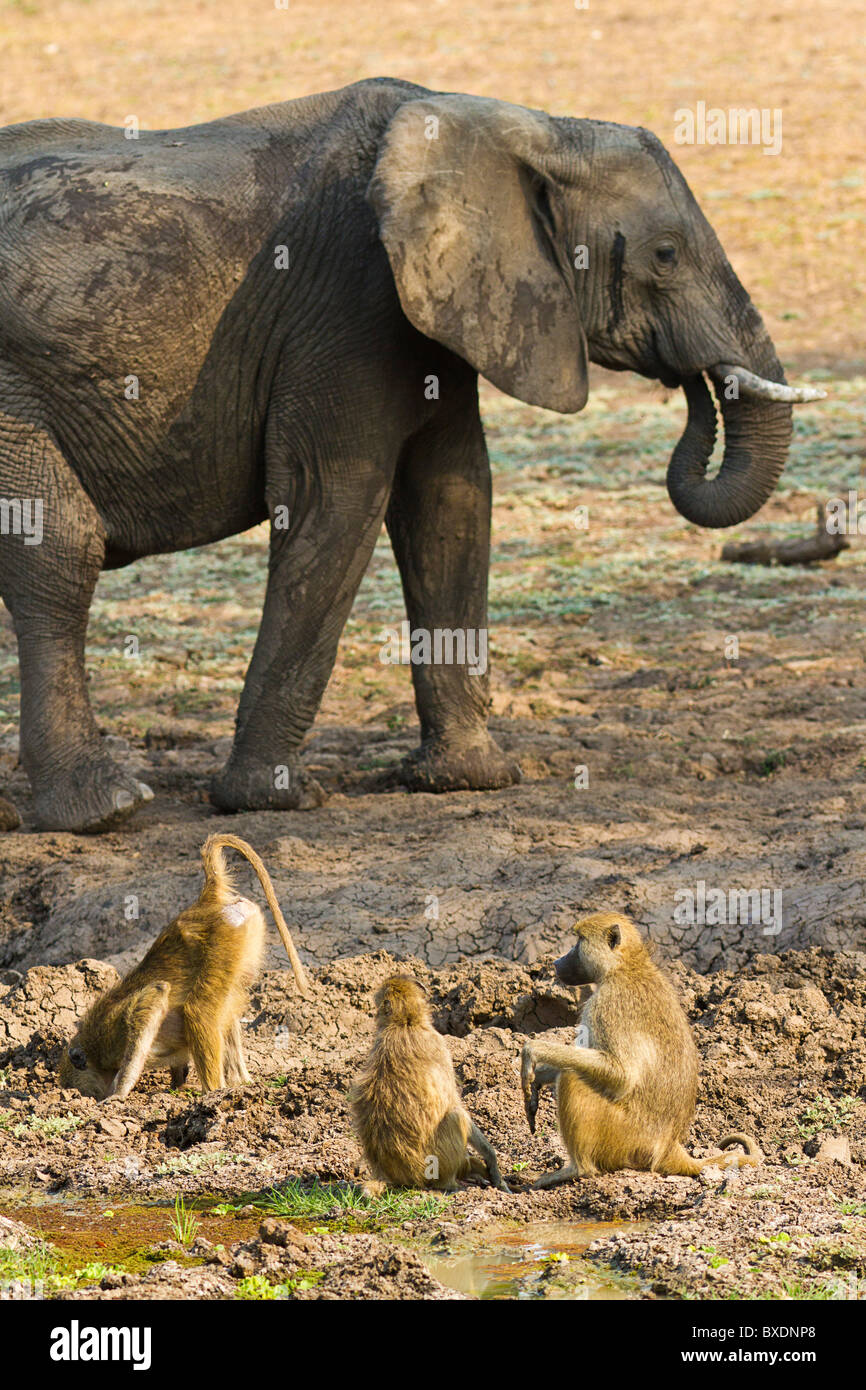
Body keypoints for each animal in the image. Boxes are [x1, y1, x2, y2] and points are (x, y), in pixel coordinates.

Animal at [0, 81, 822, 828]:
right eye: (665, 254)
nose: (694, 384)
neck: (522, 126)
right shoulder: (348, 306)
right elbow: (337, 500)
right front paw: (276, 800)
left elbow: (451, 501)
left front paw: (470, 781)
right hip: (14, 394)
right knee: (60, 548)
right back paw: (105, 812)